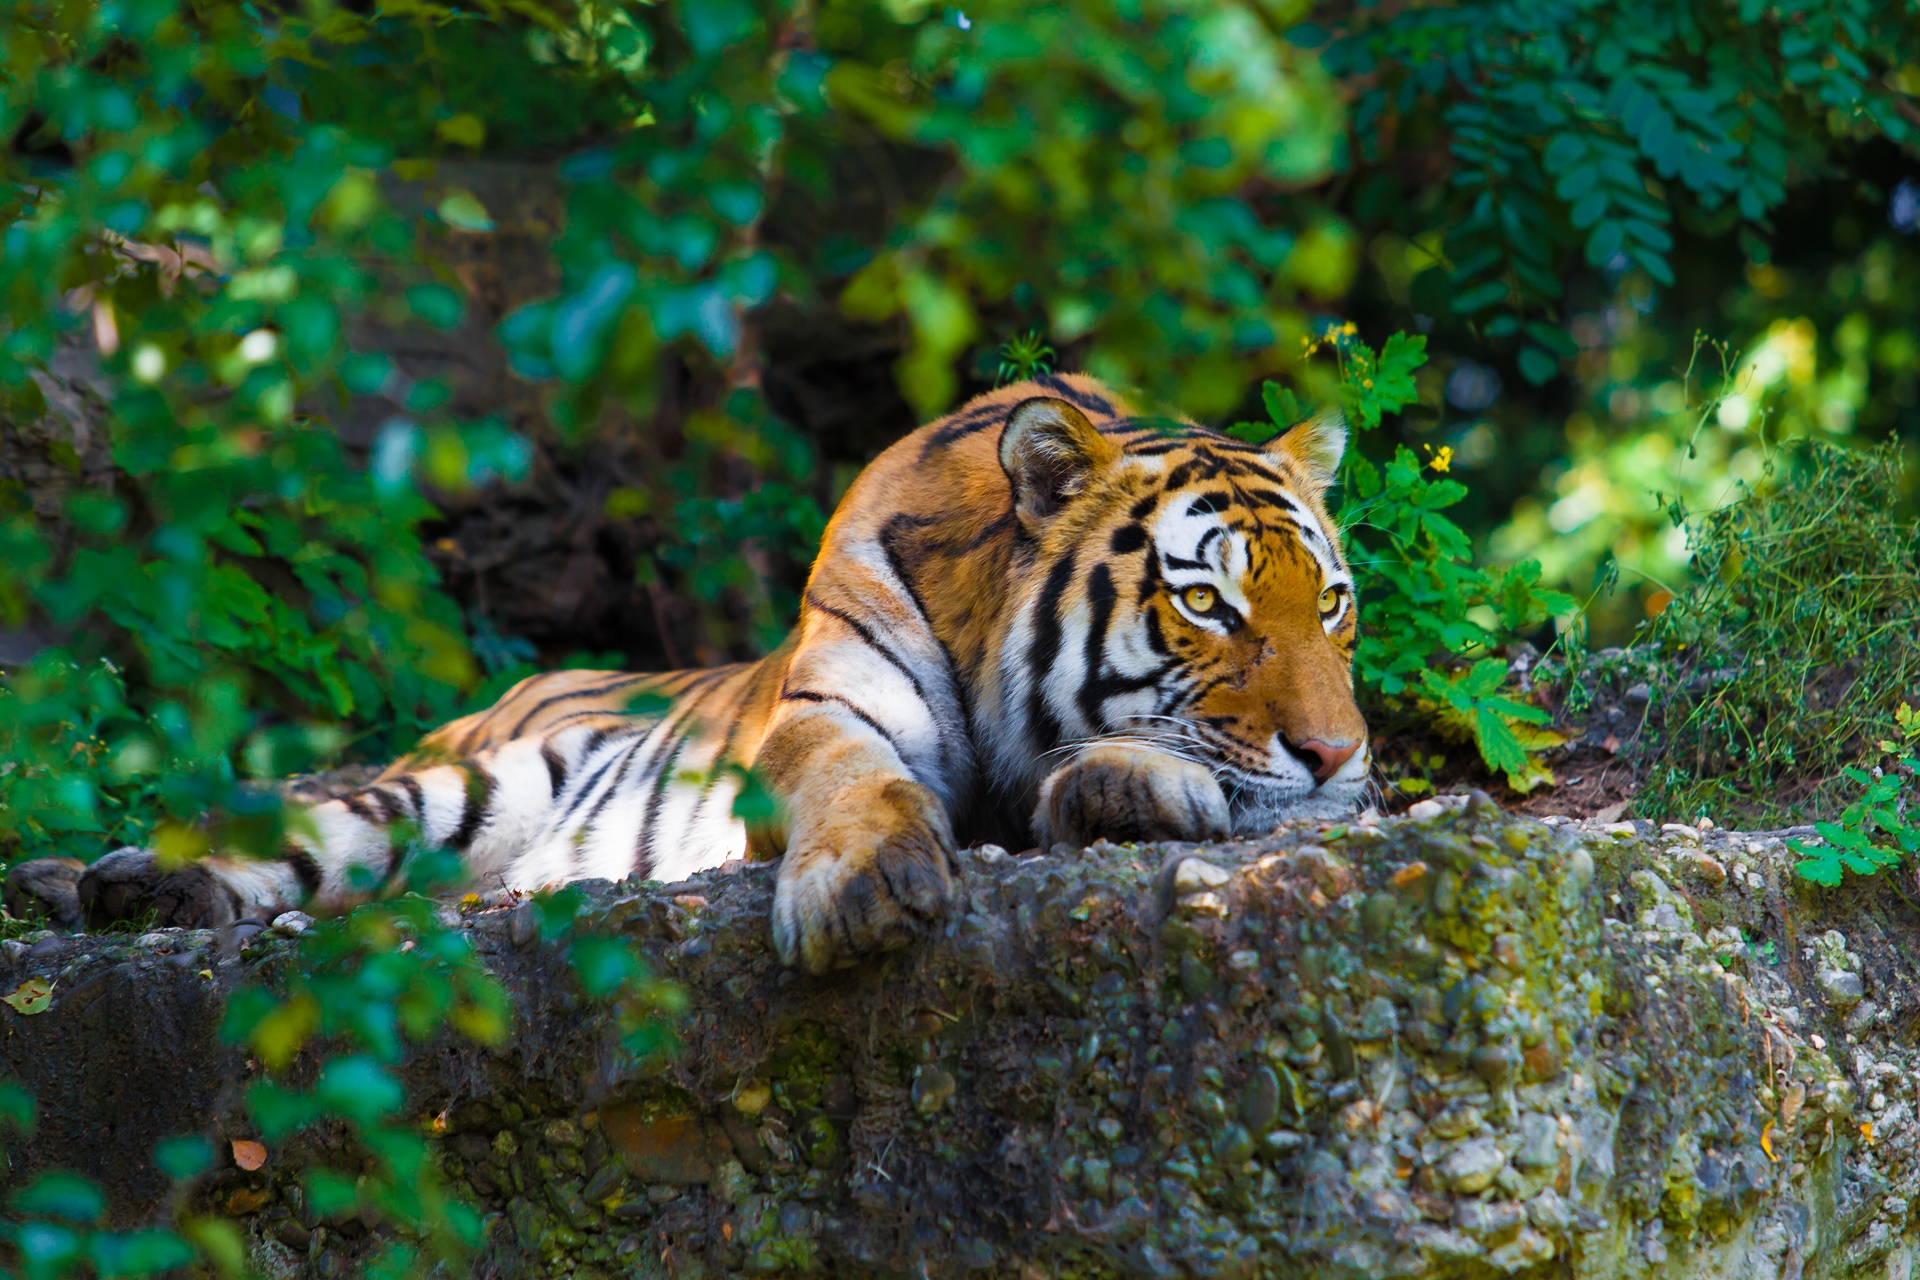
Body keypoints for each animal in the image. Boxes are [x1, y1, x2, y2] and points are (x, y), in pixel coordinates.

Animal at [7, 376, 1374, 974]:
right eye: (1205, 603)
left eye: (1332, 604)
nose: (1338, 754)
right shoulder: (821, 719)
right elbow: (860, 784)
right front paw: (867, 890)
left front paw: (1141, 785)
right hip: (456, 785)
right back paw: (129, 885)